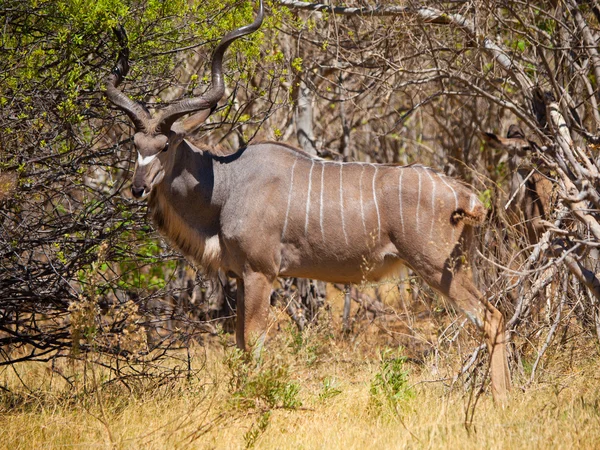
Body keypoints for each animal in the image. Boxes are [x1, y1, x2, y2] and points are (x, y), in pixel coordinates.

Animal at [103, 0, 510, 400]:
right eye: (134, 143)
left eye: (165, 145)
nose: (138, 188)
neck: (226, 186)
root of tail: (465, 194)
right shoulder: (240, 276)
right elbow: (239, 343)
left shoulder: (261, 273)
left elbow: (253, 341)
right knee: (495, 314)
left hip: (437, 267)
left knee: (490, 317)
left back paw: (502, 401)